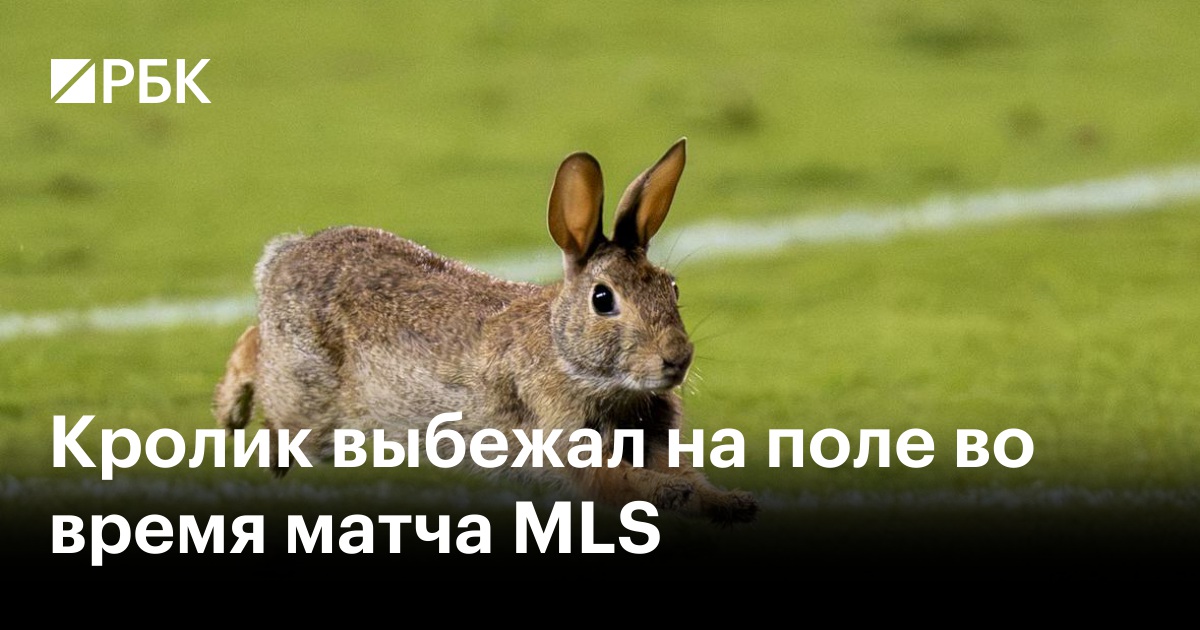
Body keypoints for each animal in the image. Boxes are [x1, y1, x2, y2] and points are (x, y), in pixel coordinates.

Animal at [213, 138, 758, 524]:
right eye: (604, 300)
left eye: (673, 287)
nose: (677, 358)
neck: (569, 357)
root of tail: (284, 257)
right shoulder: (566, 442)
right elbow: (618, 481)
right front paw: (672, 493)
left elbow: (688, 474)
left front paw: (730, 503)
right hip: (307, 399)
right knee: (256, 362)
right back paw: (230, 417)